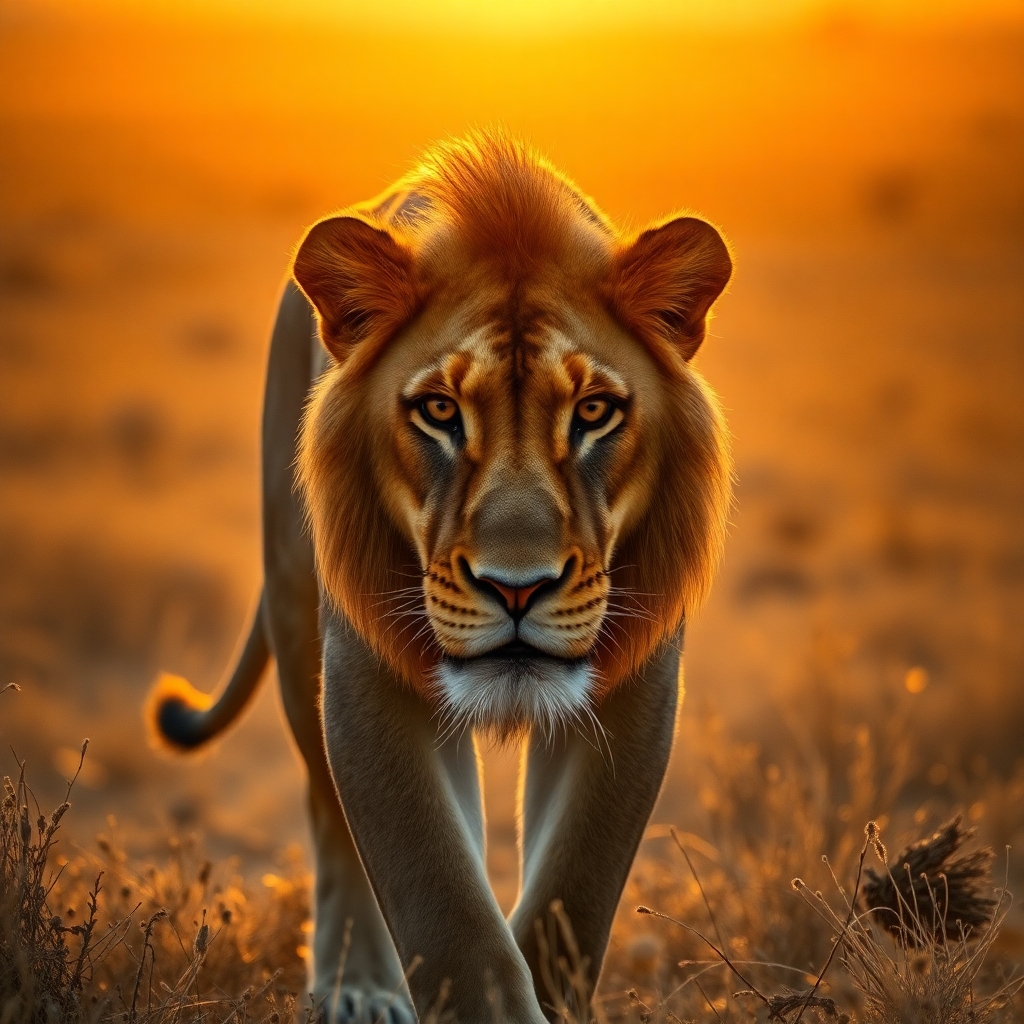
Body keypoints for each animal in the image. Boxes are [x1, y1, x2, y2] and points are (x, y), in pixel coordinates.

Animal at [147, 131, 732, 1023]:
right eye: (440, 412)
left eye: (593, 412)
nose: (517, 588)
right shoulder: (367, 671)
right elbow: (444, 906)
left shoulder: (636, 682)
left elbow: (572, 893)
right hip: (295, 606)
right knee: (329, 813)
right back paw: (356, 986)